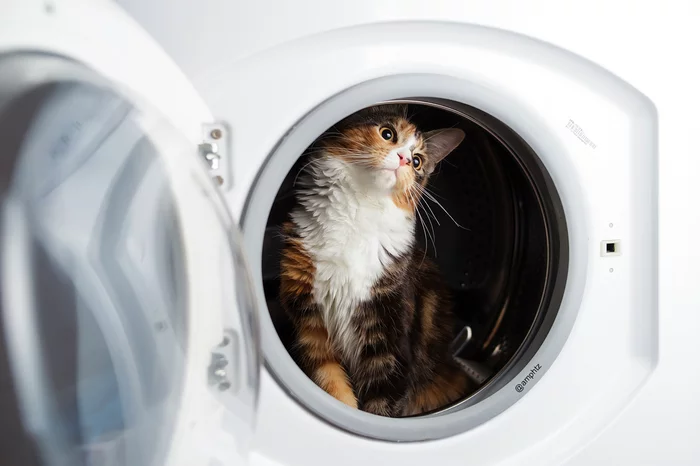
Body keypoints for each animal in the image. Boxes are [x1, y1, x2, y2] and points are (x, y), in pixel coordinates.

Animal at [278, 104, 470, 416]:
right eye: (388, 134)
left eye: (418, 161)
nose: (404, 159)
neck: (359, 209)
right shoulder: (312, 327)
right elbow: (334, 388)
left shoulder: (389, 340)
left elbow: (381, 407)